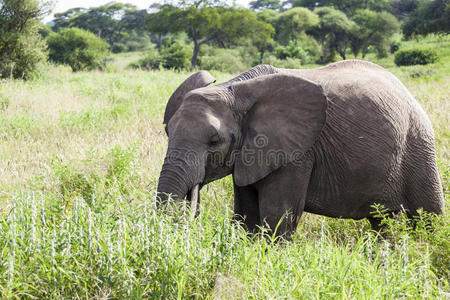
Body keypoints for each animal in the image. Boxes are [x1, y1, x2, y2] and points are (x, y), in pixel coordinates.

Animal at [156, 59, 444, 236]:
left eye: (214, 141)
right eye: (168, 132)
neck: (234, 89)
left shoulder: (297, 154)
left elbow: (277, 220)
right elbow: (247, 216)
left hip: (419, 145)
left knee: (427, 220)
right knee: (382, 223)